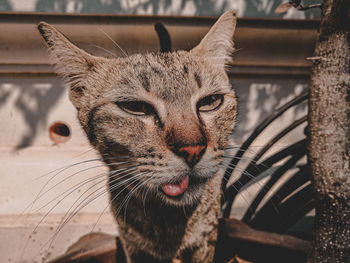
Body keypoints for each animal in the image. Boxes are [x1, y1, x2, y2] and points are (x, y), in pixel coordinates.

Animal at [37, 10, 238, 263]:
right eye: (135, 107)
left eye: (211, 102)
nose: (193, 150)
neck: (168, 220)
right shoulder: (133, 245)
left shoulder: (205, 238)